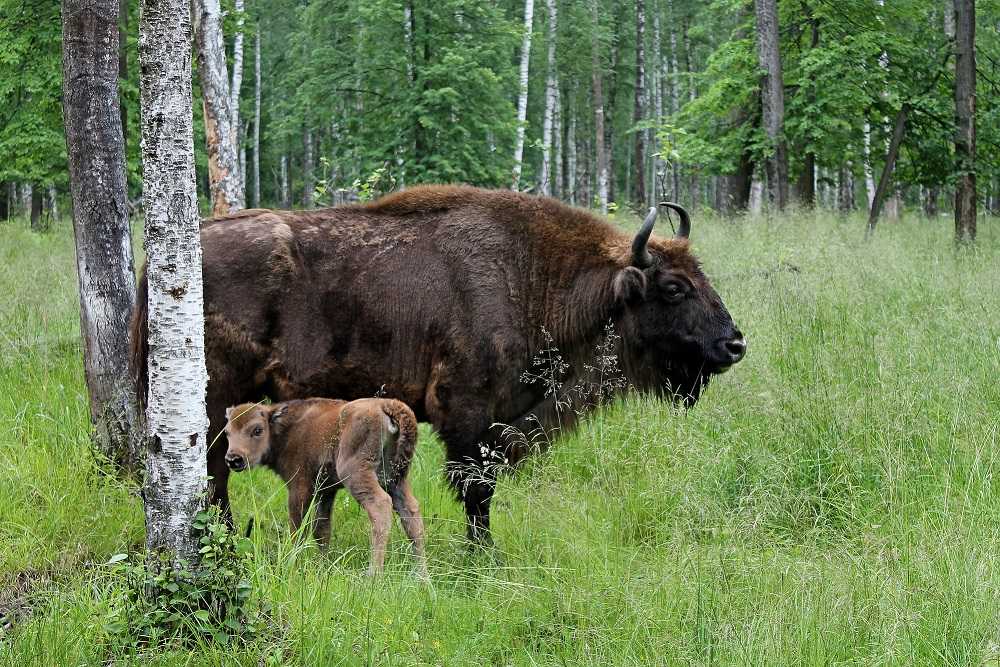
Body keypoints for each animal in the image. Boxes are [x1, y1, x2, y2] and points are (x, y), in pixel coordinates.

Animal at [131, 185, 744, 544]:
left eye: (701, 275)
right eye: (672, 287)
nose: (734, 345)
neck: (532, 277)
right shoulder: (469, 418)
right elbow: (477, 492)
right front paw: (482, 557)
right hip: (214, 398)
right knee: (214, 472)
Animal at [225, 396, 428, 580]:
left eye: (257, 430)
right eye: (227, 432)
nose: (234, 459)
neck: (285, 430)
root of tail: (386, 405)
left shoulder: (299, 487)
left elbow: (298, 529)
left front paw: (293, 565)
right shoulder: (325, 492)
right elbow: (322, 530)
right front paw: (323, 566)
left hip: (356, 473)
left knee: (380, 506)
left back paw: (373, 576)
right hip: (395, 478)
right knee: (411, 513)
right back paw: (422, 578)